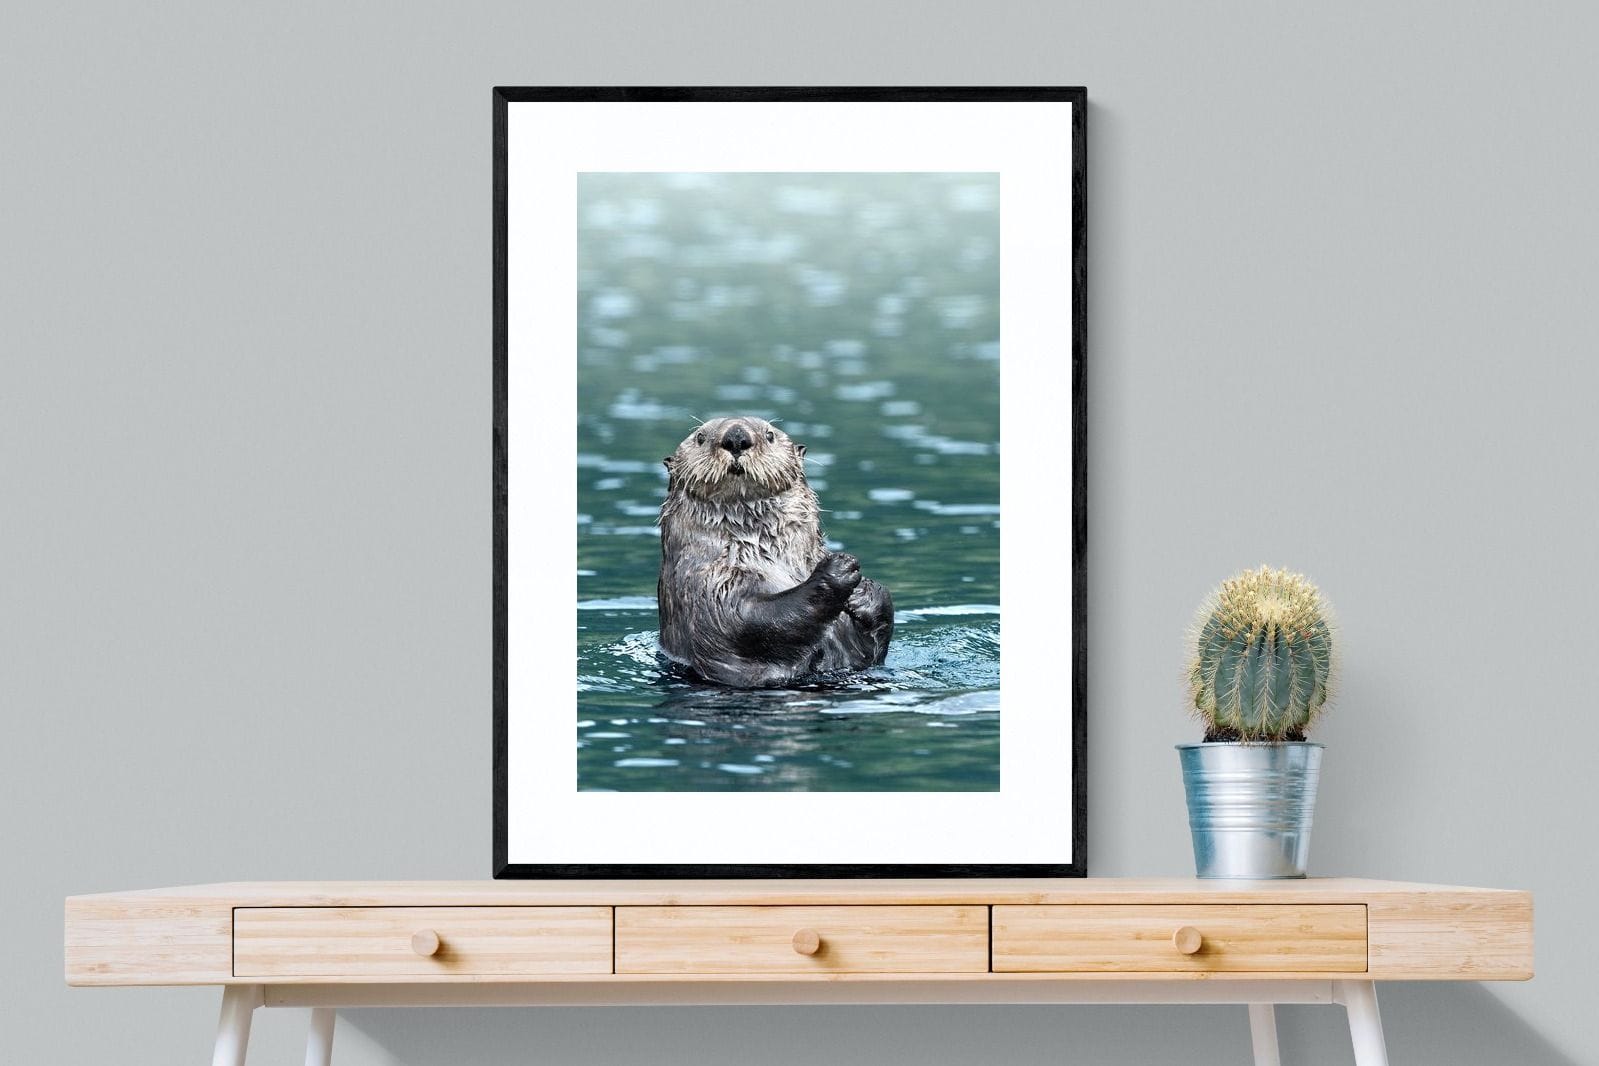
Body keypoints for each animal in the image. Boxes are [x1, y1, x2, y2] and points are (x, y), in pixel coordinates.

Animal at [657, 415, 894, 688]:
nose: (736, 437)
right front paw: (838, 568)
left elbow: (872, 650)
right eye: (700, 437)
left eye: (769, 435)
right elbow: (749, 620)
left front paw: (865, 592)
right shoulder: (707, 585)